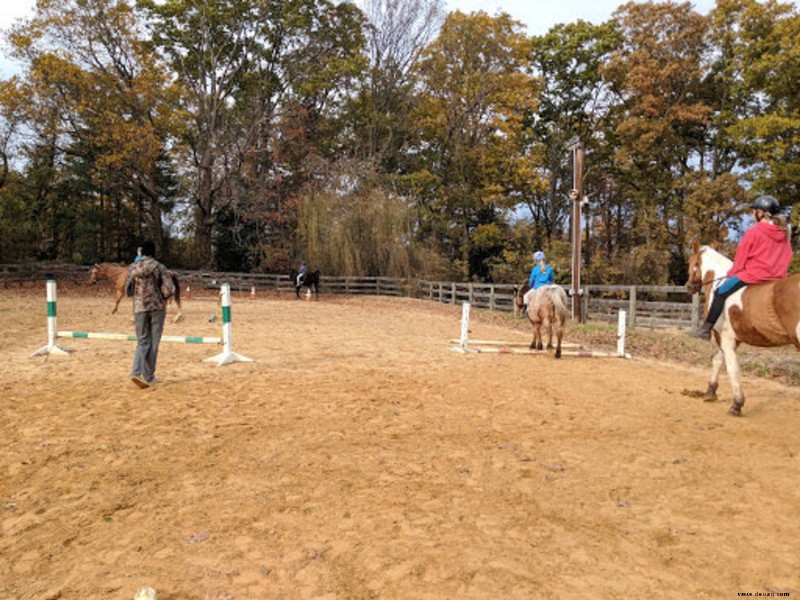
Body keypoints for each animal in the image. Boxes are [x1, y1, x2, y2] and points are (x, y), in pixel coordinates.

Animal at [684, 241, 800, 414]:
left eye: (692, 262)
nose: (689, 287)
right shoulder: (733, 339)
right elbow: (718, 360)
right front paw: (710, 391)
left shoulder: (724, 336)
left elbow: (732, 368)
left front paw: (737, 404)